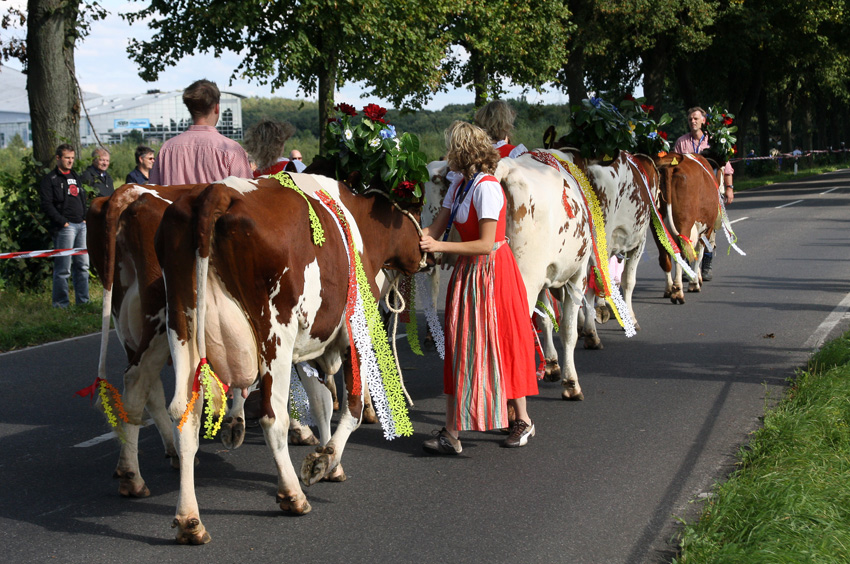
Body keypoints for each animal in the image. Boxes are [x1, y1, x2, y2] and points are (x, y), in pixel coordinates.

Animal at [154, 174, 424, 544]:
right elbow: (351, 408)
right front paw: (324, 461)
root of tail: (216, 192)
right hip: (273, 335)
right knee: (273, 417)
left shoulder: (307, 349)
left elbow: (321, 401)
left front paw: (330, 461)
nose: (426, 251)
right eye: (419, 208)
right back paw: (293, 494)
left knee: (184, 415)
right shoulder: (355, 333)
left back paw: (188, 520)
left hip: (181, 326)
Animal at [652, 152, 720, 304]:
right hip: (685, 223)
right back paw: (678, 292)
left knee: (664, 257)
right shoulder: (706, 229)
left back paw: (669, 289)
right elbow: (698, 254)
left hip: (655, 226)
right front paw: (695, 282)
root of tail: (670, 165)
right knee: (681, 253)